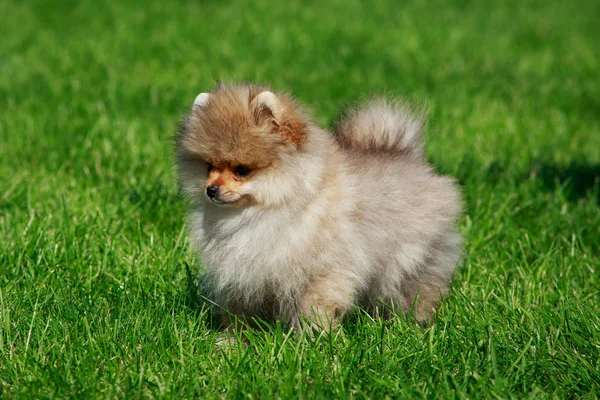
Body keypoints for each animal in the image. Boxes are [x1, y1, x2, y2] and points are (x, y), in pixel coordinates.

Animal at [176, 83, 462, 332]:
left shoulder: (323, 273)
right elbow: (239, 310)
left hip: (415, 258)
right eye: (209, 166)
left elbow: (314, 307)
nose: (211, 189)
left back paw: (416, 322)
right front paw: (234, 340)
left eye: (242, 170)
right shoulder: (243, 273)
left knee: (419, 287)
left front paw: (311, 340)